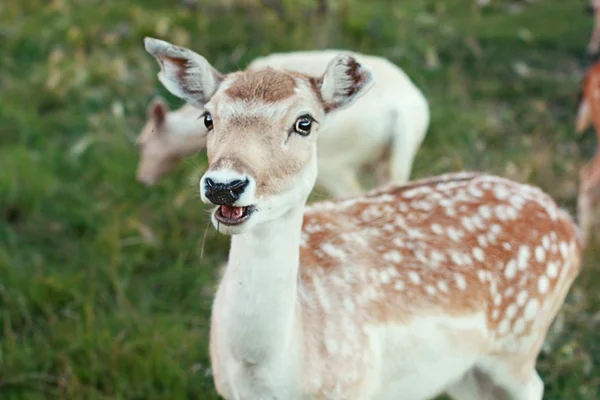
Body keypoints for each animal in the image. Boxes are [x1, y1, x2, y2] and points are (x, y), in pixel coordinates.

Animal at [135, 49, 432, 198]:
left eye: (143, 142)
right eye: (208, 119)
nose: (142, 179)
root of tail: (404, 111)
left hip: (335, 164)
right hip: (393, 158)